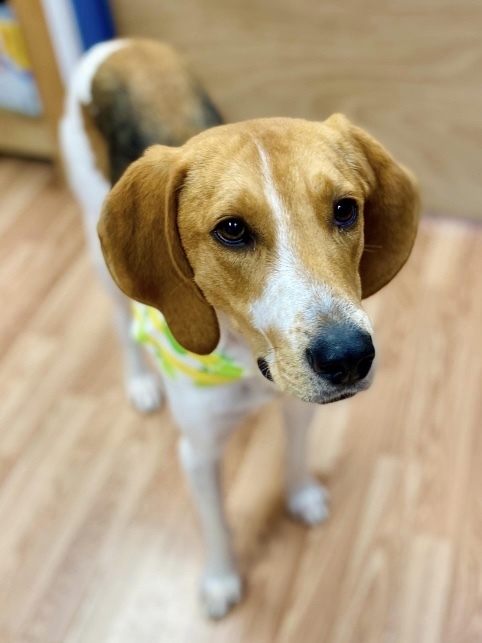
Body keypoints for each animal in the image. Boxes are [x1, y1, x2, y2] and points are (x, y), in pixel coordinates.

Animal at [61, 36, 418, 620]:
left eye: (346, 210)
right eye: (231, 230)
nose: (348, 357)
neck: (249, 363)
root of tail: (119, 44)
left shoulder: (300, 407)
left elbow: (294, 454)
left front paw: (300, 494)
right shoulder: (198, 454)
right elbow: (217, 525)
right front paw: (222, 579)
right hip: (98, 256)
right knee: (118, 326)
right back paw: (139, 383)